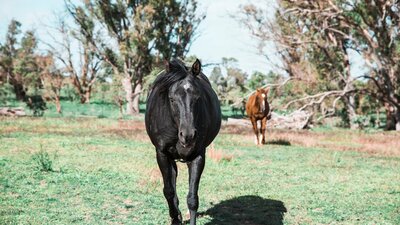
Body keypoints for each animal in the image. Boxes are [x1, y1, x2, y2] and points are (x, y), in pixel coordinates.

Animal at [145, 59, 220, 224]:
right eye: (172, 98)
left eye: (198, 97)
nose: (188, 135)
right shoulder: (162, 154)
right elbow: (168, 191)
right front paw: (175, 218)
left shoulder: (198, 156)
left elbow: (192, 198)